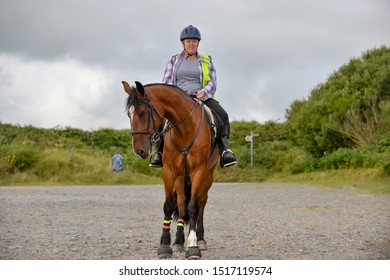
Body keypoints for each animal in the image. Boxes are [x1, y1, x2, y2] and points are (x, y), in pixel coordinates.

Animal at [122, 80, 219, 260]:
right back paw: (179, 241)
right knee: (181, 204)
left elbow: (193, 207)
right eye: (129, 115)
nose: (138, 151)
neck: (185, 130)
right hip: (181, 177)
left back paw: (200, 239)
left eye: (142, 113)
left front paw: (193, 245)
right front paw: (165, 244)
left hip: (208, 175)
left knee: (201, 202)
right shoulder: (170, 171)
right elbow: (169, 205)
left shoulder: (199, 172)